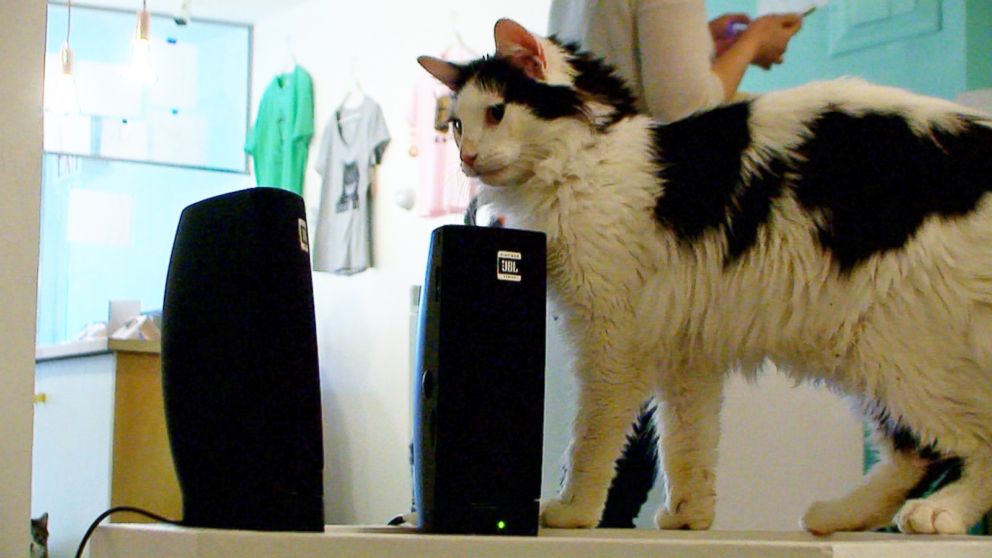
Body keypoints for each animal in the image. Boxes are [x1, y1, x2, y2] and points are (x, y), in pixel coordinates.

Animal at [420, 18, 992, 540]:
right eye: (458, 125)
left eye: (496, 113)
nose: (467, 157)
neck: (592, 162)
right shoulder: (686, 351)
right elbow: (687, 441)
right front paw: (689, 517)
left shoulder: (612, 343)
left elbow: (592, 437)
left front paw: (573, 510)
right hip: (877, 351)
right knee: (915, 453)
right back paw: (838, 516)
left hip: (900, 345)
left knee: (970, 441)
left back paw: (942, 513)